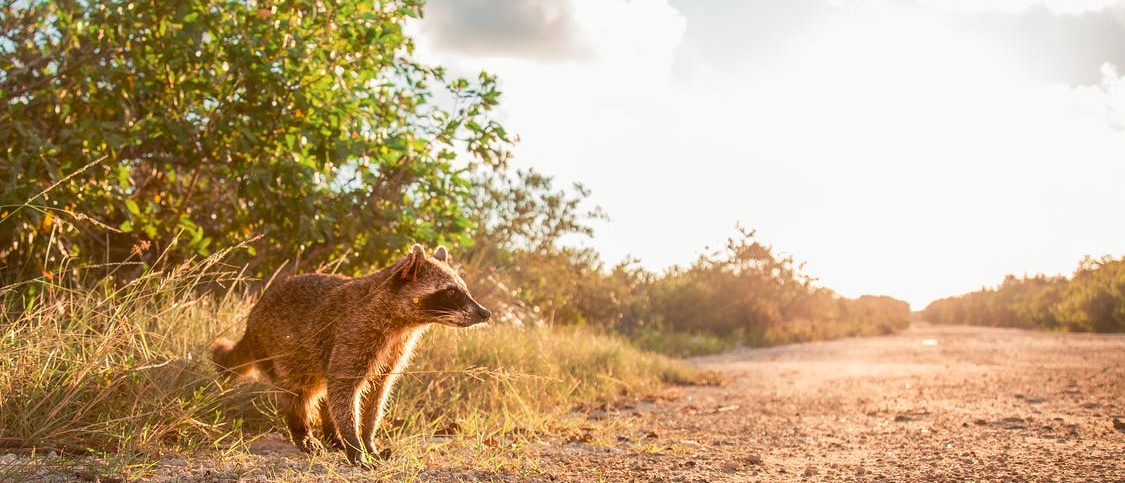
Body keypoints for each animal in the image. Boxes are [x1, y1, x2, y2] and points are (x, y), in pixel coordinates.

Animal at [211, 244, 492, 463]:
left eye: (464, 288)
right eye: (451, 291)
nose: (485, 312)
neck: (404, 323)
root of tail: (250, 325)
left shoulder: (394, 349)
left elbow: (377, 394)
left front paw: (368, 441)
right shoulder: (354, 333)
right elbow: (345, 389)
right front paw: (355, 444)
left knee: (324, 392)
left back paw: (331, 435)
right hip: (282, 349)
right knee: (299, 392)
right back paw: (303, 432)